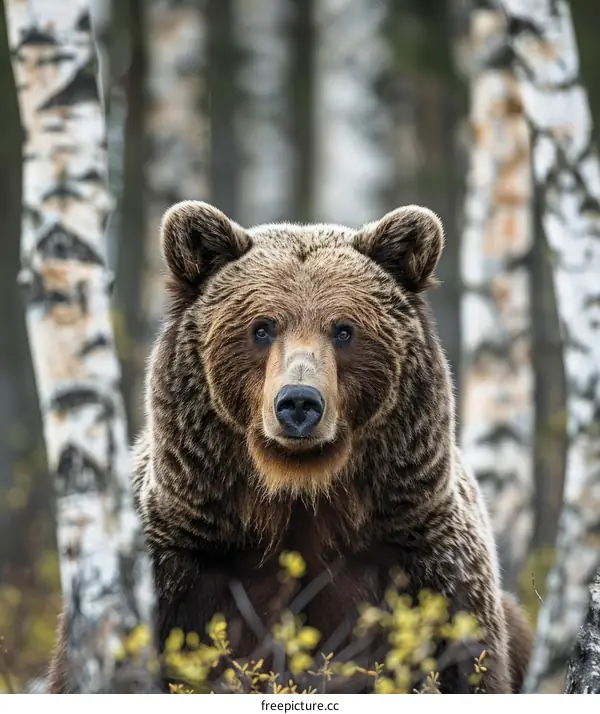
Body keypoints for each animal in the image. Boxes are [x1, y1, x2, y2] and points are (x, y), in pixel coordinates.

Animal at [47, 200, 533, 694]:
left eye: (344, 329)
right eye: (262, 328)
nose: (299, 402)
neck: (295, 497)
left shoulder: (427, 563)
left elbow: (467, 666)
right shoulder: (175, 564)